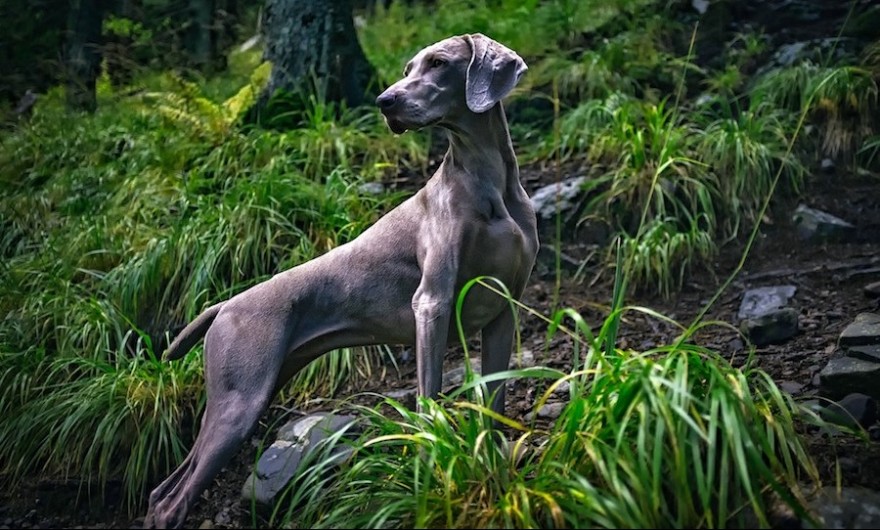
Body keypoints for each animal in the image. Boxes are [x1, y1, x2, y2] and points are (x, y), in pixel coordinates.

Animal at [144, 32, 536, 524]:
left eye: (438, 63)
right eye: (408, 69)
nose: (384, 101)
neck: (488, 181)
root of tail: (224, 304)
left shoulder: (505, 310)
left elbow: (495, 404)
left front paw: (494, 468)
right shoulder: (432, 303)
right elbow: (429, 398)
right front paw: (434, 464)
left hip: (249, 393)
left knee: (163, 489)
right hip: (238, 404)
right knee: (170, 500)